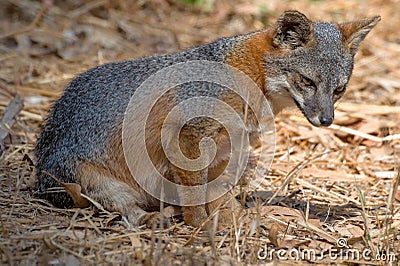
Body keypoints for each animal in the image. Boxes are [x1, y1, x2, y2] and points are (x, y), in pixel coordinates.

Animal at [33, 10, 378, 229]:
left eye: (339, 89)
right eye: (307, 81)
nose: (326, 120)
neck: (246, 75)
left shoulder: (228, 147)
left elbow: (220, 194)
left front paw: (232, 219)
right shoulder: (186, 137)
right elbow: (197, 194)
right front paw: (200, 226)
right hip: (92, 182)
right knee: (126, 212)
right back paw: (153, 219)